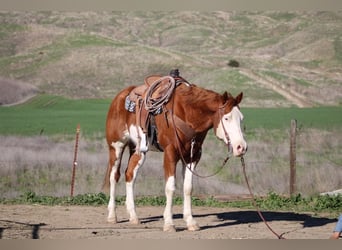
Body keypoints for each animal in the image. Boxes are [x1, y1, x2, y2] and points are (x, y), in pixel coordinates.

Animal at [103, 71, 247, 232]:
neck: (187, 113)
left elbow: (188, 188)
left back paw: (133, 216)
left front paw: (191, 222)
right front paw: (169, 223)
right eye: (227, 118)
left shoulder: (193, 157)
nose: (241, 147)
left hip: (138, 150)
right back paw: (112, 216)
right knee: (114, 176)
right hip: (116, 147)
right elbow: (170, 187)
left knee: (130, 175)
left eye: (241, 118)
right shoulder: (170, 153)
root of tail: (119, 98)